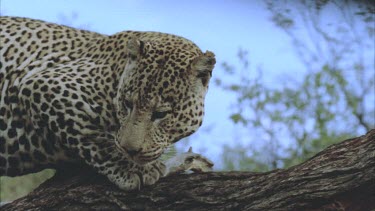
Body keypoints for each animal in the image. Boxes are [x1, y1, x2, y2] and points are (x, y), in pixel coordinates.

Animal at [0, 16, 216, 190]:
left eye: (160, 114)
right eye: (127, 104)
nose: (130, 150)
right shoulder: (43, 83)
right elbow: (92, 134)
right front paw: (133, 169)